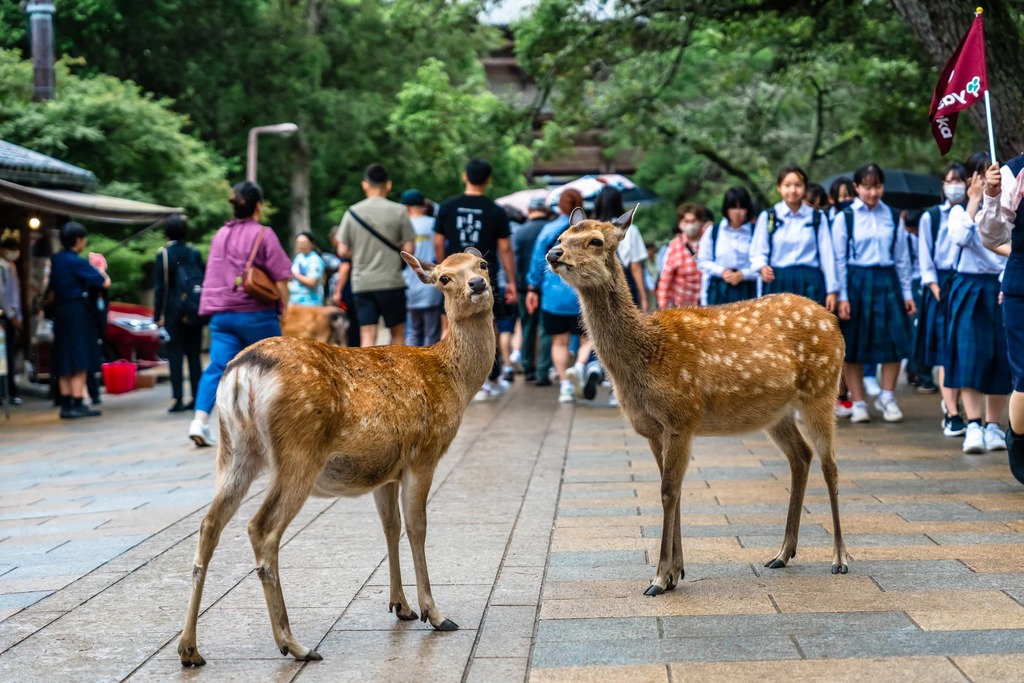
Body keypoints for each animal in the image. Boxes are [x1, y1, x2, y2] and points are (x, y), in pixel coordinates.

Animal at [178, 249, 496, 667]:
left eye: (482, 265)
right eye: (444, 277)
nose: (477, 285)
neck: (453, 378)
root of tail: (241, 376)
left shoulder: (386, 471)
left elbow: (390, 527)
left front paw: (402, 607)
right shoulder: (423, 454)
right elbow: (417, 527)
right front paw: (435, 613)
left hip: (234, 452)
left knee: (209, 524)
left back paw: (189, 649)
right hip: (298, 452)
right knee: (261, 528)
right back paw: (294, 644)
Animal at [548, 207, 848, 596]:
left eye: (595, 241)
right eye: (561, 236)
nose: (553, 254)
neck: (648, 355)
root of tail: (834, 321)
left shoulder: (681, 418)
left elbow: (667, 491)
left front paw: (659, 578)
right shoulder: (653, 429)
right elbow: (671, 491)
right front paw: (677, 573)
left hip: (822, 390)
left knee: (831, 465)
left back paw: (839, 559)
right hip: (776, 412)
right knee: (801, 456)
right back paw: (782, 553)